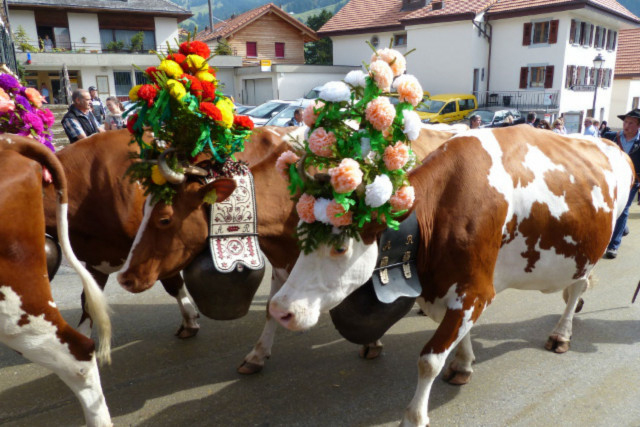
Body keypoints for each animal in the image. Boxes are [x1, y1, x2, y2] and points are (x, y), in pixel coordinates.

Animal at [115, 125, 456, 372]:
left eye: (164, 218)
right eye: (143, 208)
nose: (125, 276)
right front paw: (257, 354)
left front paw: (372, 343)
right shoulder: (282, 261)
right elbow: (271, 307)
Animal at [266, 125, 636, 426]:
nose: (279, 309)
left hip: (593, 251)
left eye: (340, 247)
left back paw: (561, 334)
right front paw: (462, 363)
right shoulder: (447, 288)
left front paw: (414, 417)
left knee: (577, 289)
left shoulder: (477, 290)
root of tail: (612, 144)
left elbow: (429, 360)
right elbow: (458, 335)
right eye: (301, 234)